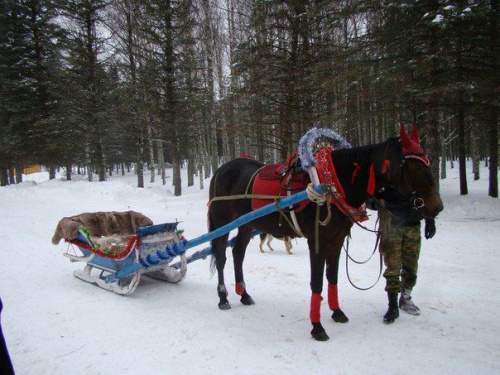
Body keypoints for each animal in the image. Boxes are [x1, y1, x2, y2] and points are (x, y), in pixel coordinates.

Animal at [209, 126, 444, 340]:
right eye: (415, 165)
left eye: (428, 162)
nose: (437, 207)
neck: (332, 184)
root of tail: (221, 169)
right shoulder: (317, 241)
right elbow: (317, 282)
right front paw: (317, 327)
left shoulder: (336, 240)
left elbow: (332, 277)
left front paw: (337, 312)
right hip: (222, 221)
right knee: (220, 256)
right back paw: (223, 297)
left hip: (246, 225)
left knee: (238, 254)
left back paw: (244, 294)